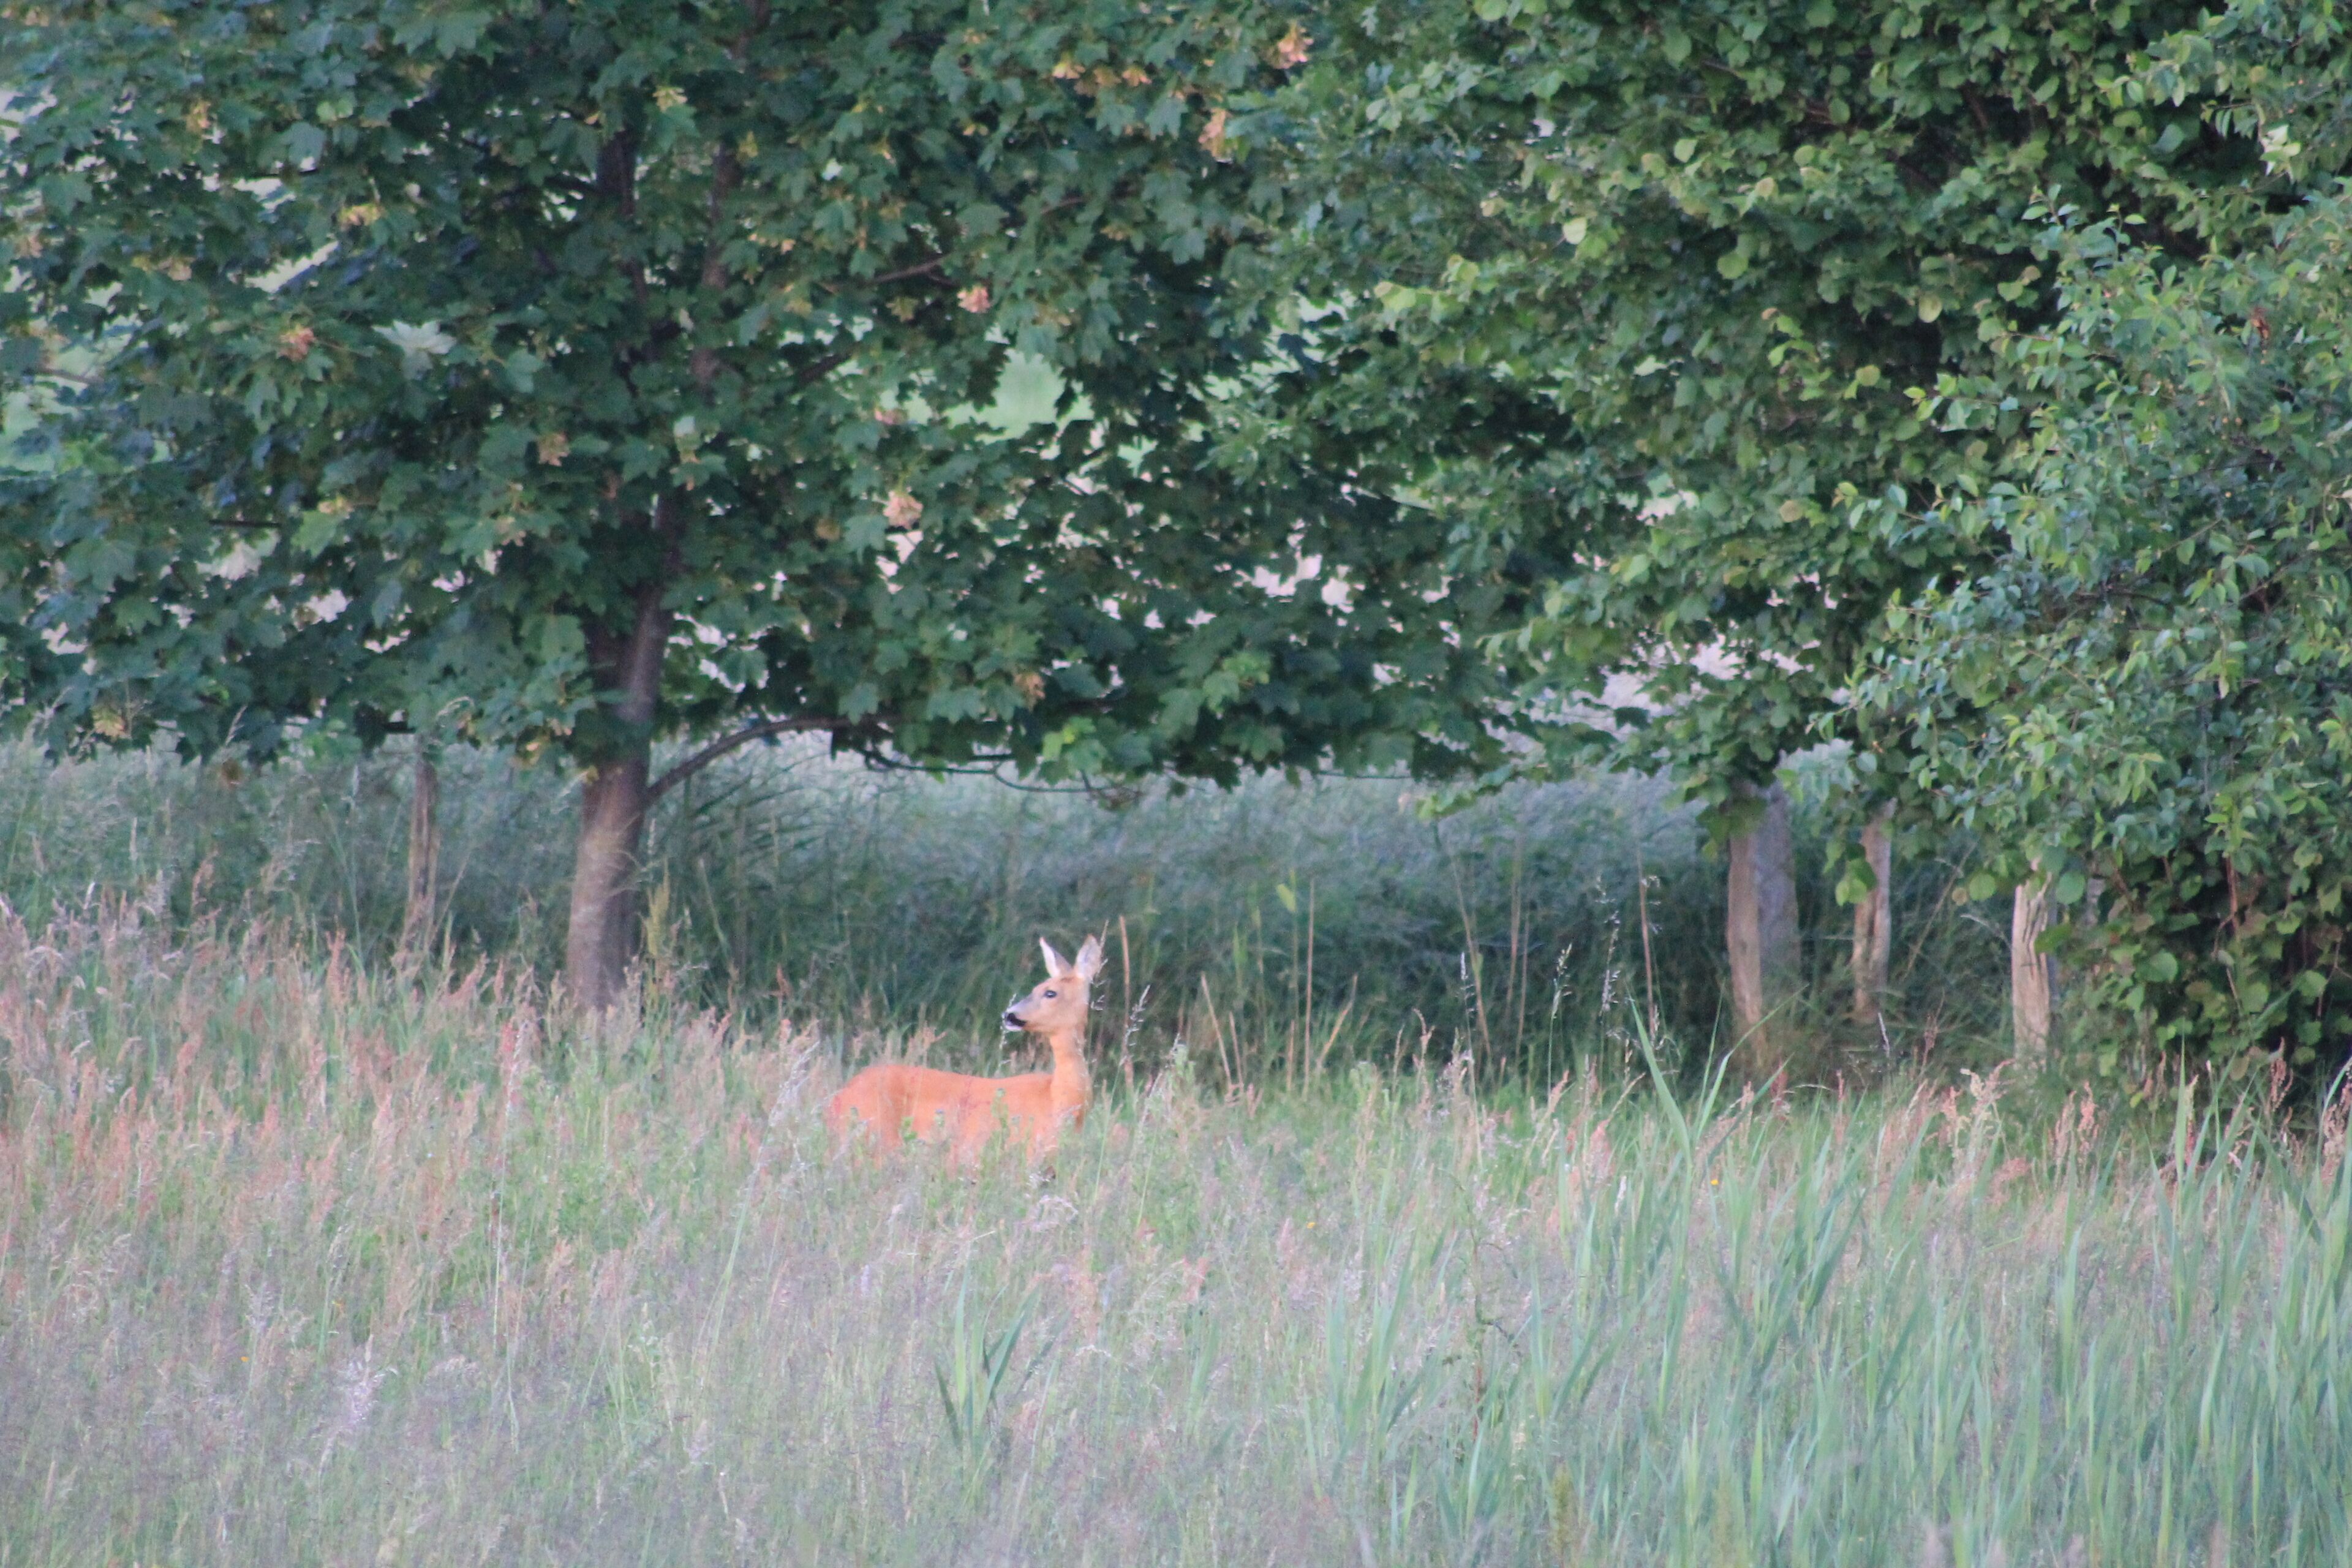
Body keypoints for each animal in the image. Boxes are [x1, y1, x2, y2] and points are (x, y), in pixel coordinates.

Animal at [824, 935, 1102, 1164]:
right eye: (1037, 988)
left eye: (1050, 992)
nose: (1009, 1015)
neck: (1059, 1097)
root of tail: (839, 1098)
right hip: (878, 1136)